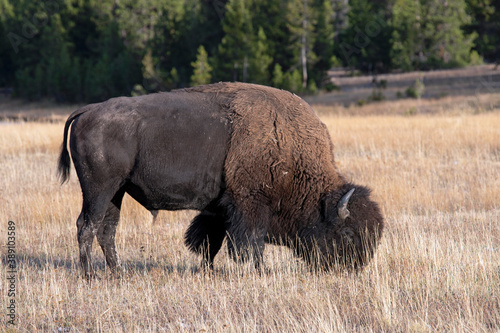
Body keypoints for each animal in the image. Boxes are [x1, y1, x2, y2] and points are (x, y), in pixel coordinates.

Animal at [59, 81, 386, 276]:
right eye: (348, 234)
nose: (354, 268)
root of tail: (89, 110)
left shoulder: (219, 208)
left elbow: (209, 241)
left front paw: (208, 270)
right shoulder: (249, 205)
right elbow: (251, 243)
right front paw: (259, 272)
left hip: (117, 192)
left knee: (107, 229)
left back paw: (117, 272)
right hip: (99, 190)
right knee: (87, 225)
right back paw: (89, 275)